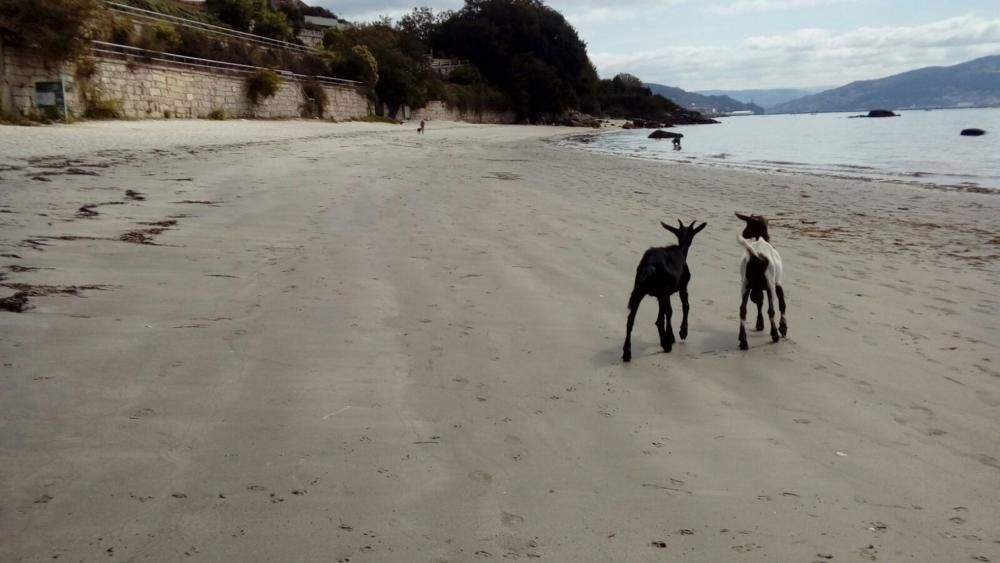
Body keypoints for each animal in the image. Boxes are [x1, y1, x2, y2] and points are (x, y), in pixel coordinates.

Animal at [620, 218, 708, 364]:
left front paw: (671, 336)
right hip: (661, 291)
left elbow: (668, 311)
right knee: (661, 318)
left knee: (631, 319)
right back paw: (666, 345)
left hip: (639, 290)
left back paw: (627, 353)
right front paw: (681, 332)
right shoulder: (682, 287)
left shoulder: (664, 294)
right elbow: (684, 307)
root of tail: (649, 267)